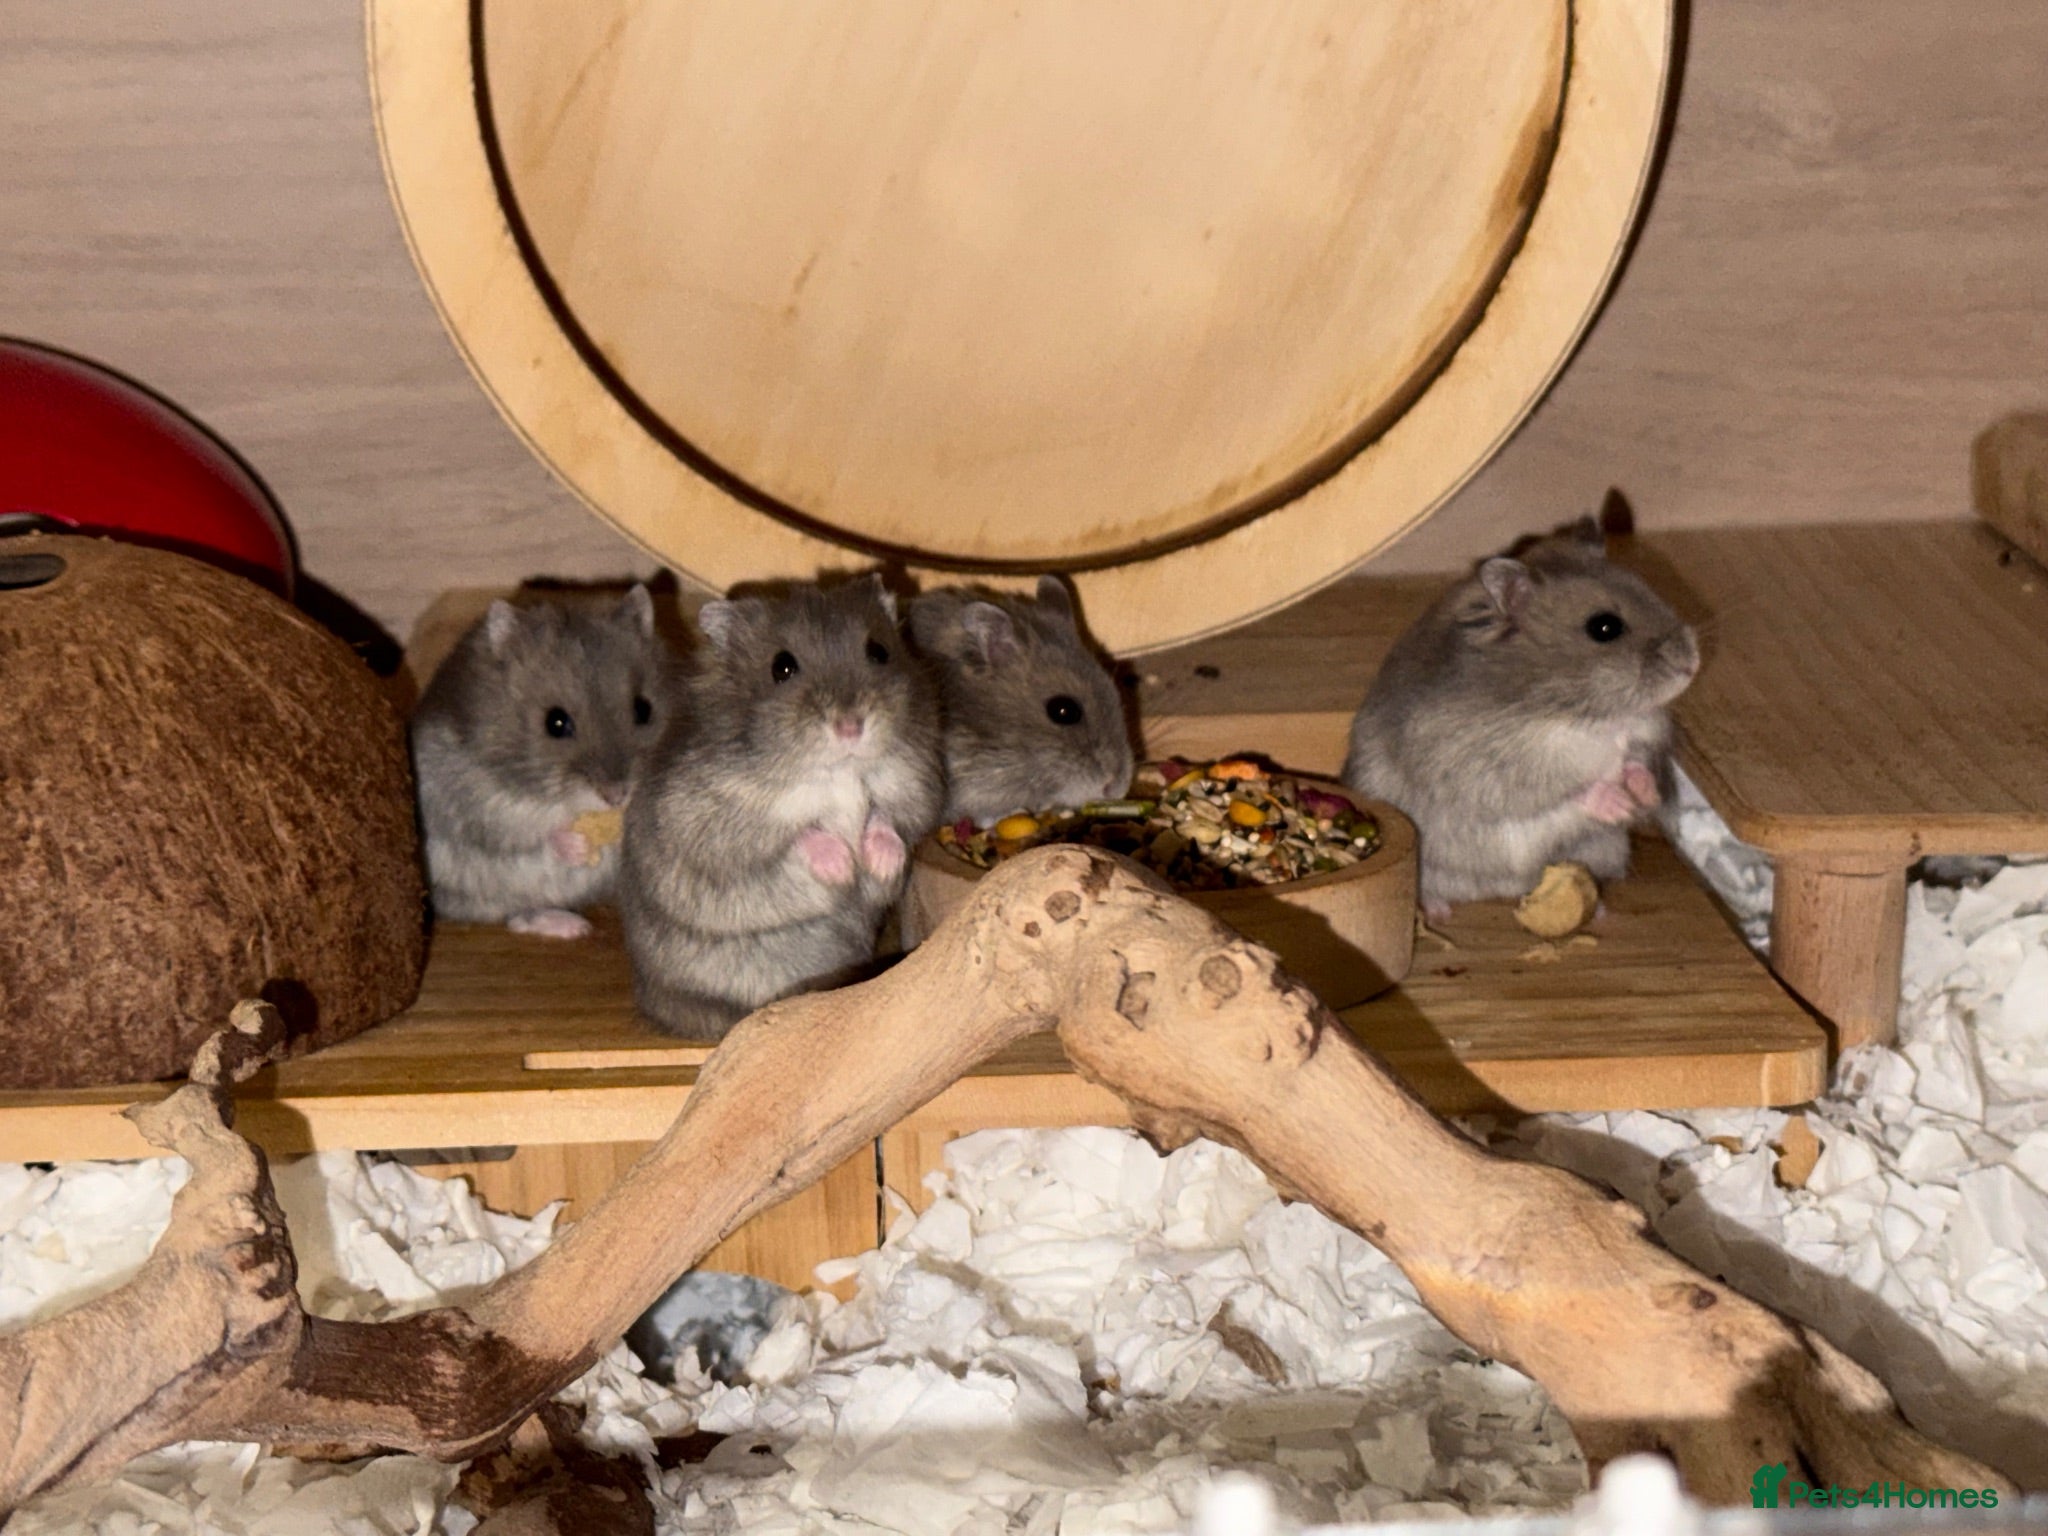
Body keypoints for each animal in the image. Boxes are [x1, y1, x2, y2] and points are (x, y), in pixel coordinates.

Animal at [411, 585, 671, 939]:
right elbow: (534, 835)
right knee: (514, 913)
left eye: (644, 709)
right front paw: (575, 844)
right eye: (555, 723)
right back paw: (571, 926)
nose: (618, 797)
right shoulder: (482, 804)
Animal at [622, 575, 944, 1038]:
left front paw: (879, 863)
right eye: (782, 667)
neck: (837, 770)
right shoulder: (707, 822)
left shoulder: (916, 789)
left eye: (879, 651)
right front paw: (843, 869)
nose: (850, 726)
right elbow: (802, 834)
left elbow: (886, 819)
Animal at [1342, 526, 1700, 912]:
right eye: (1604, 627)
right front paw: (1618, 803)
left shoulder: (1643, 739)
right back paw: (1438, 911)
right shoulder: (1500, 771)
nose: (1692, 663)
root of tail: (1496, 891)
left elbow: (1637, 763)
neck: (1589, 715)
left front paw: (1643, 794)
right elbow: (1566, 793)